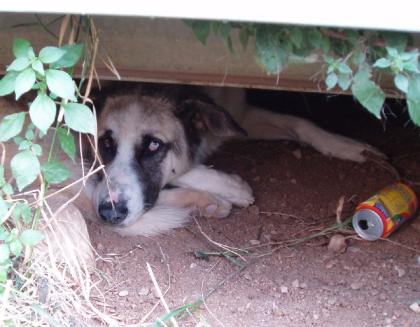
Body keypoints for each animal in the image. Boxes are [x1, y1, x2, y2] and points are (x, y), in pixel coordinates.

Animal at [82, 84, 384, 237]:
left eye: (153, 145)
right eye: (105, 143)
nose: (109, 213)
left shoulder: (241, 115)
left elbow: (301, 123)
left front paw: (348, 146)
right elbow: (186, 166)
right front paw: (232, 187)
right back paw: (210, 201)